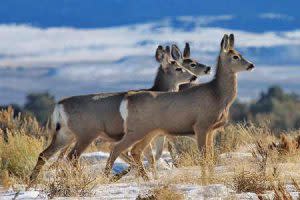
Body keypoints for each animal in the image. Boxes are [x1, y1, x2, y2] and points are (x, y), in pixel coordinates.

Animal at [29, 45, 210, 181]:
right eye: (181, 67)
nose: (195, 77)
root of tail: (59, 106)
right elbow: (143, 155)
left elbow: (151, 156)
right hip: (86, 133)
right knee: (72, 156)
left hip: (65, 134)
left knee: (45, 154)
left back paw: (32, 183)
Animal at [104, 34, 254, 180]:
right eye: (235, 57)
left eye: (240, 53)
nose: (251, 65)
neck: (217, 95)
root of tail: (127, 99)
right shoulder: (201, 125)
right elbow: (204, 157)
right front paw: (205, 180)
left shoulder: (211, 130)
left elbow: (211, 156)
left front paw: (211, 178)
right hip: (137, 129)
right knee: (117, 148)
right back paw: (107, 177)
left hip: (150, 131)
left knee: (136, 151)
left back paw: (145, 179)